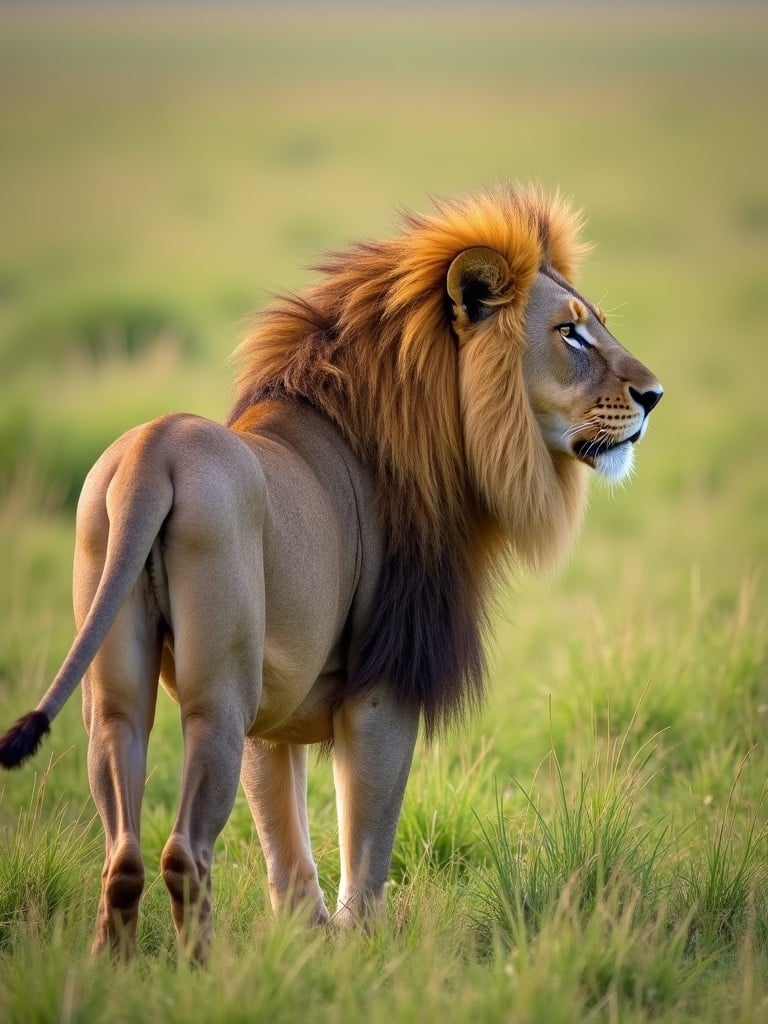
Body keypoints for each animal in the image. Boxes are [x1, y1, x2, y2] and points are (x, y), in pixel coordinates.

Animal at [0, 184, 663, 958]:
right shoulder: (385, 681)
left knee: (124, 849)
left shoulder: (273, 708)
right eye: (570, 334)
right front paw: (362, 947)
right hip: (218, 696)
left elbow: (287, 850)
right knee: (184, 851)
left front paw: (305, 946)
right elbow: (368, 837)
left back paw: (114, 968)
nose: (655, 395)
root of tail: (150, 456)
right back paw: (203, 972)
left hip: (118, 688)